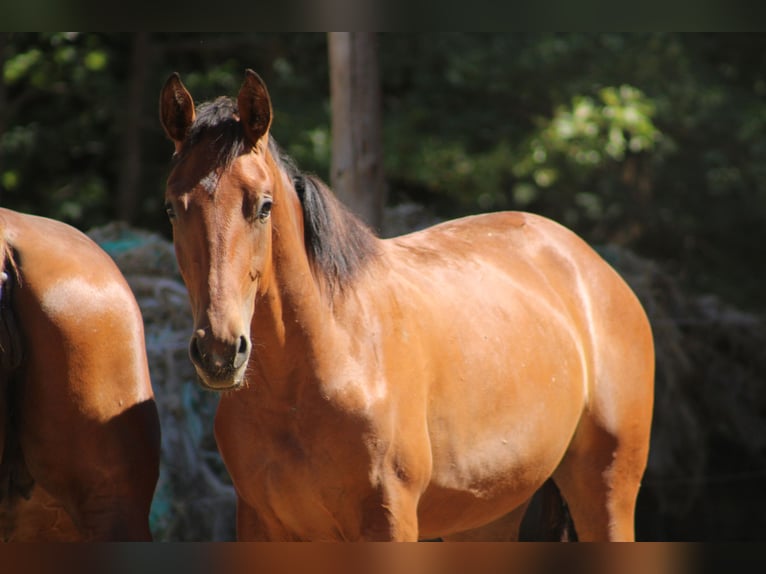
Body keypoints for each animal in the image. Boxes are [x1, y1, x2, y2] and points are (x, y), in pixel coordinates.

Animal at [159, 69, 654, 541]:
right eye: (171, 208)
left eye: (263, 206)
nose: (220, 351)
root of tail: (592, 268)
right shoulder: (261, 525)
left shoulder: (389, 520)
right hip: (485, 517)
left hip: (607, 493)